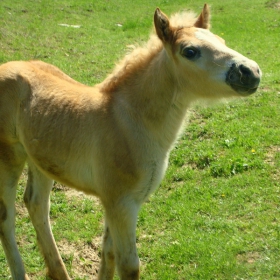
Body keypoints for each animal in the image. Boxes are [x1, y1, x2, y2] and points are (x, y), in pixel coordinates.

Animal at [0, 2, 260, 280]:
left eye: (221, 40)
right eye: (190, 51)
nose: (251, 72)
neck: (127, 123)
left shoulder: (116, 202)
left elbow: (108, 254)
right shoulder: (122, 203)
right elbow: (129, 265)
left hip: (41, 160)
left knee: (36, 205)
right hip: (9, 157)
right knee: (7, 218)